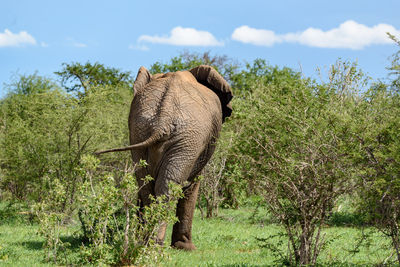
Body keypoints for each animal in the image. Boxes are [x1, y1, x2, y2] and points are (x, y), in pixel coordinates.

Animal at [96, 65, 233, 251]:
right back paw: (156, 246)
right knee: (169, 187)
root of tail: (163, 117)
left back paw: (145, 243)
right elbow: (192, 185)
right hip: (188, 138)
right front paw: (187, 248)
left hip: (141, 131)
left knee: (146, 185)